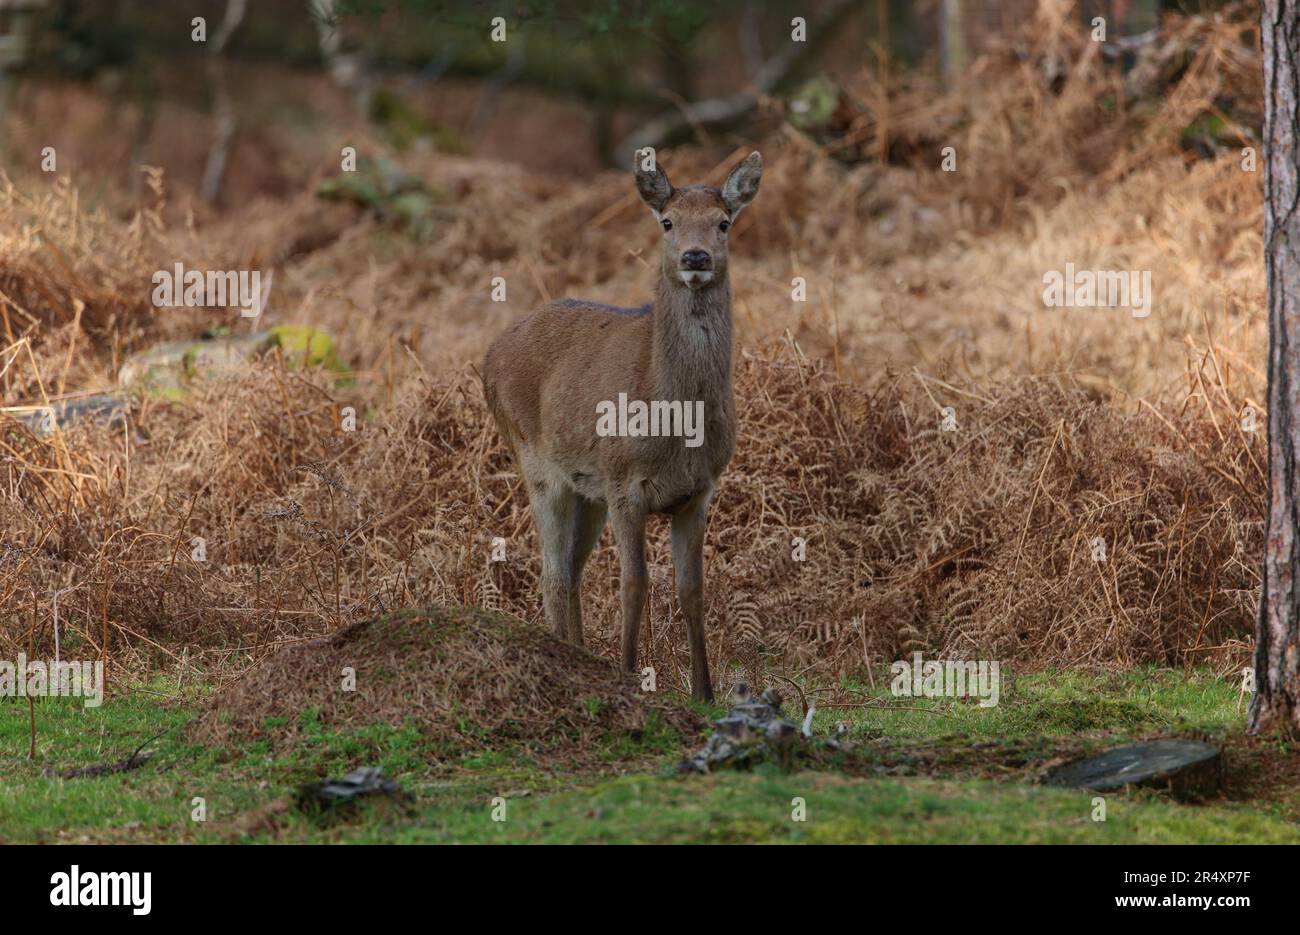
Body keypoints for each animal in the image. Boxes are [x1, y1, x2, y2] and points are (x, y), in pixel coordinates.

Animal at [480, 148, 759, 702]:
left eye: (723, 222)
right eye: (668, 221)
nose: (696, 257)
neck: (675, 422)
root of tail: (488, 356)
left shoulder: (699, 491)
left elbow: (692, 589)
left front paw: (705, 691)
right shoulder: (624, 481)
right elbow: (634, 584)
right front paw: (631, 675)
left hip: (587, 491)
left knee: (572, 570)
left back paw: (581, 655)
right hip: (537, 463)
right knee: (551, 575)